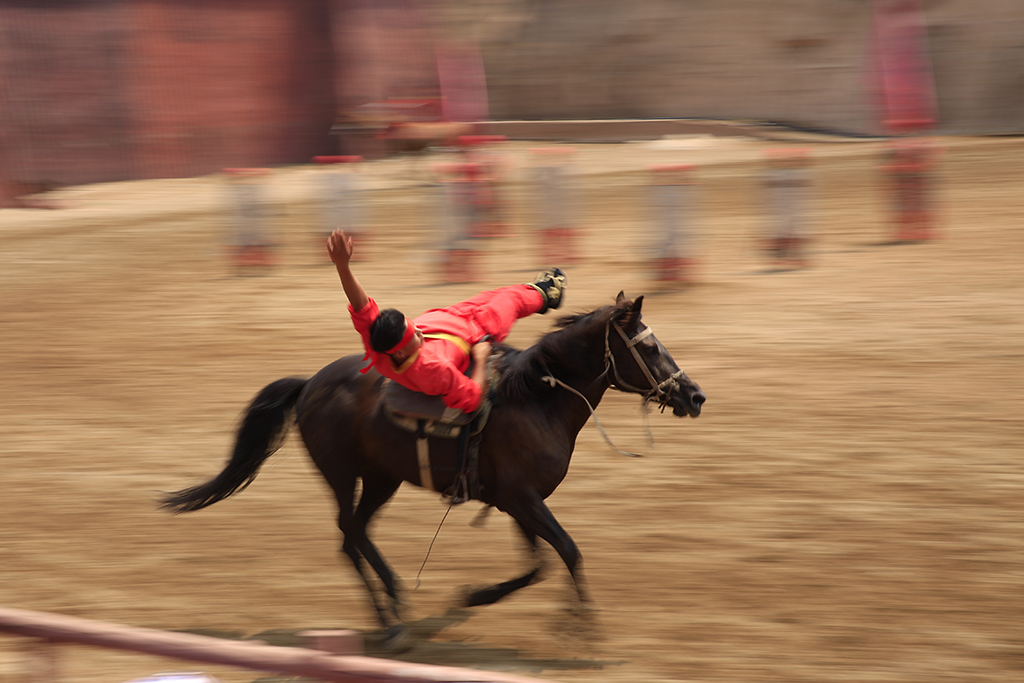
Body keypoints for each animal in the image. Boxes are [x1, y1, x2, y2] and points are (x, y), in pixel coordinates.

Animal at [161, 292, 704, 647]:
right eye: (648, 347)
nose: (694, 395)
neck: (536, 398)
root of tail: (310, 383)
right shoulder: (521, 499)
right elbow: (568, 551)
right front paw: (583, 625)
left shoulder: (517, 501)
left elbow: (538, 564)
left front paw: (477, 596)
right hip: (343, 474)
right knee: (348, 534)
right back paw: (392, 618)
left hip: (382, 478)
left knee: (355, 533)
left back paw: (394, 611)